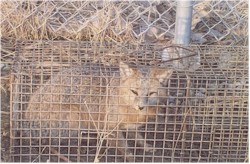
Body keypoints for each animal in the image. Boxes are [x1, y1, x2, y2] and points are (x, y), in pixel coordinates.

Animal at [22, 61, 172, 161]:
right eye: (134, 92)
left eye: (151, 94)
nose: (141, 106)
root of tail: (26, 120)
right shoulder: (111, 127)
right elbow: (125, 148)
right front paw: (132, 158)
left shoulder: (130, 125)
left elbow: (138, 137)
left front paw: (146, 146)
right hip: (75, 115)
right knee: (59, 140)